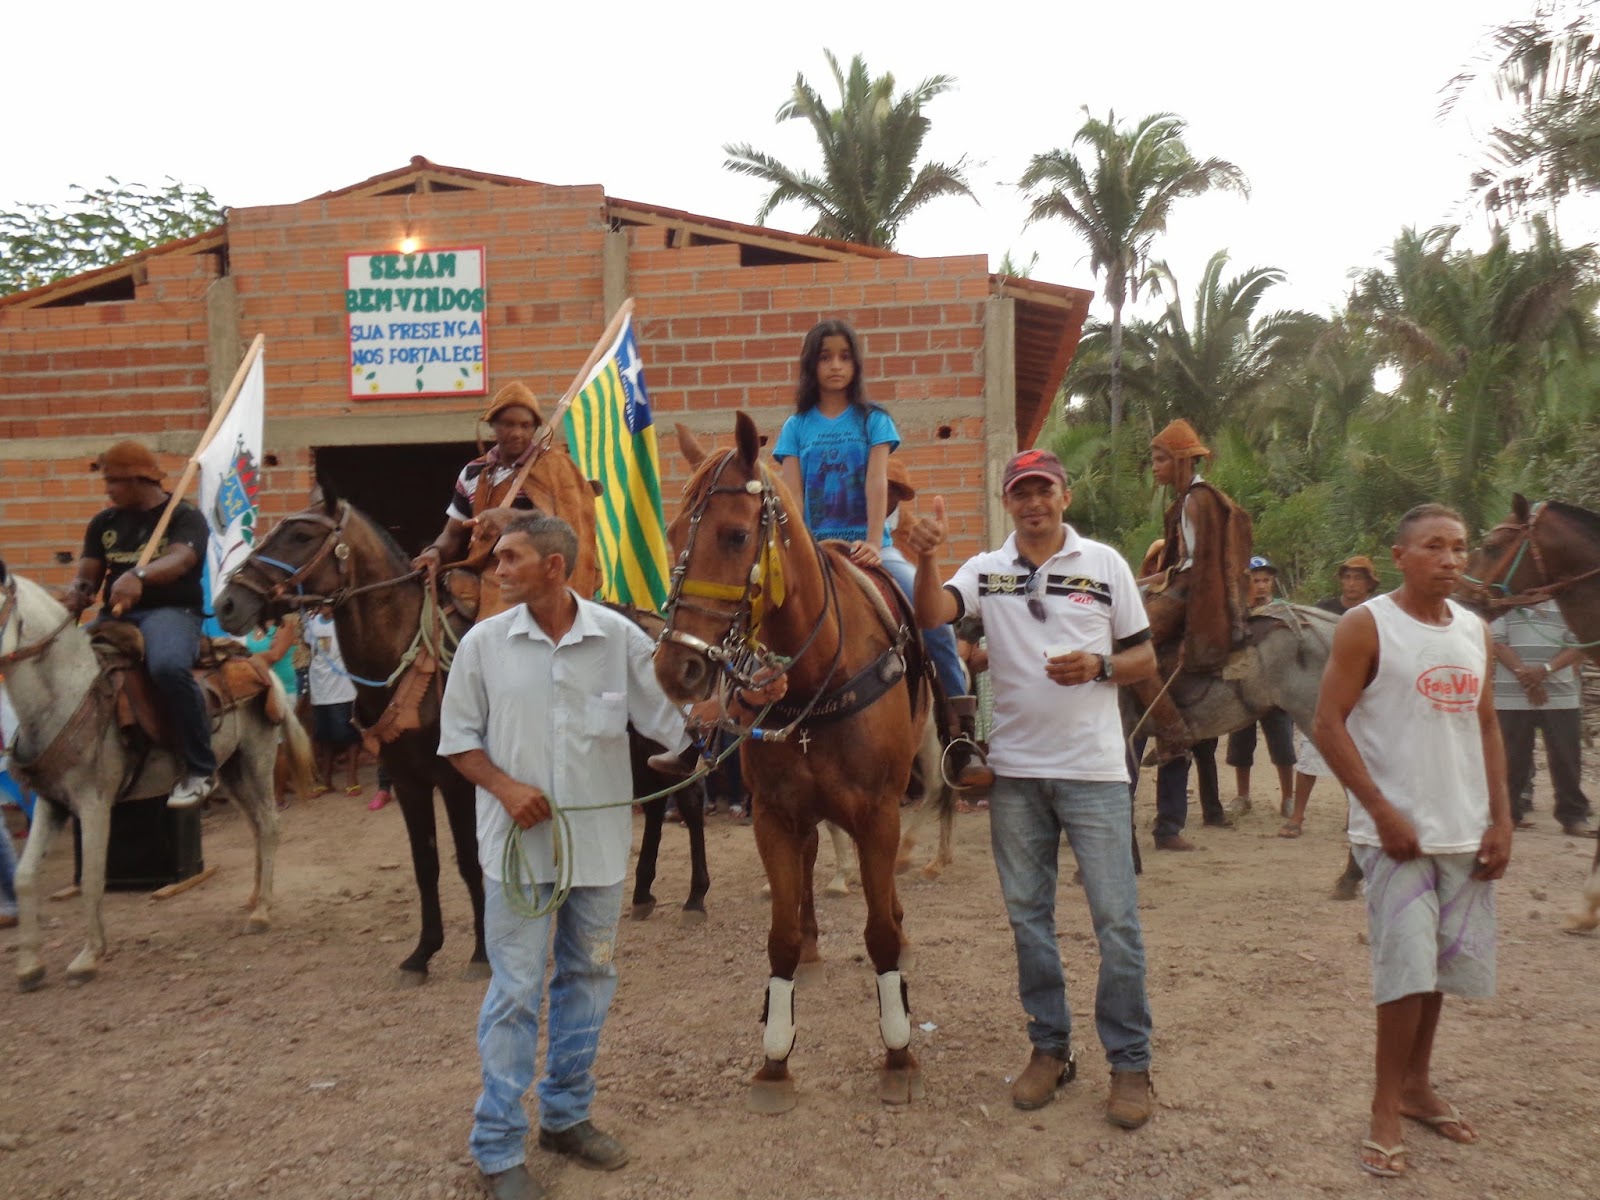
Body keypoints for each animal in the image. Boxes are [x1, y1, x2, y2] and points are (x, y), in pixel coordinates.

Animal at [0, 569, 308, 992]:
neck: (66, 694)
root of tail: (260, 665)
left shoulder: (93, 804)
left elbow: (92, 880)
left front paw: (88, 957)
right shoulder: (53, 803)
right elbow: (26, 877)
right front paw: (30, 965)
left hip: (257, 758)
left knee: (270, 825)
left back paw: (261, 911)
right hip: (231, 771)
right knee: (257, 827)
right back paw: (255, 896)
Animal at [649, 412, 928, 1120]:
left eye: (735, 534)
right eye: (672, 536)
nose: (676, 667)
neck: (815, 675)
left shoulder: (879, 814)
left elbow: (879, 933)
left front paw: (898, 1052)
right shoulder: (773, 816)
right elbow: (775, 936)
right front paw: (774, 1058)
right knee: (806, 865)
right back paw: (810, 940)